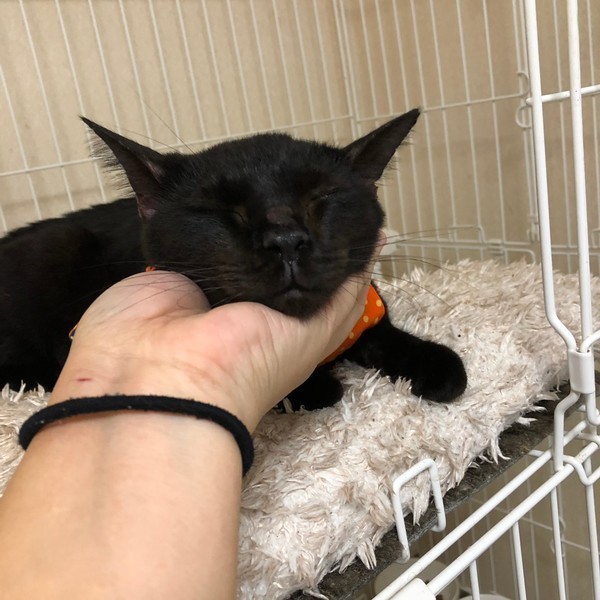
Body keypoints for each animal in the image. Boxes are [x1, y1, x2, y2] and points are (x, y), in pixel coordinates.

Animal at [0, 108, 467, 409]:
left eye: (322, 198)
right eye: (220, 211)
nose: (286, 240)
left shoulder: (364, 313)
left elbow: (387, 337)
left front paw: (436, 365)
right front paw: (314, 387)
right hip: (59, 244)